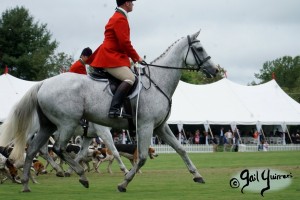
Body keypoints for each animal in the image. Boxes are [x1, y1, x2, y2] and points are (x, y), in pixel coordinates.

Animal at [0, 31, 218, 192]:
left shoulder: (160, 127)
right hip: (66, 124)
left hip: (49, 126)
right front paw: (124, 181)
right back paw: (80, 176)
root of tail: (43, 83)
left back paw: (28, 184)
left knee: (34, 151)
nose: (215, 70)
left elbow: (181, 149)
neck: (158, 81)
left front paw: (197, 175)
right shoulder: (143, 126)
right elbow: (138, 157)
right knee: (57, 149)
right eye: (199, 48)